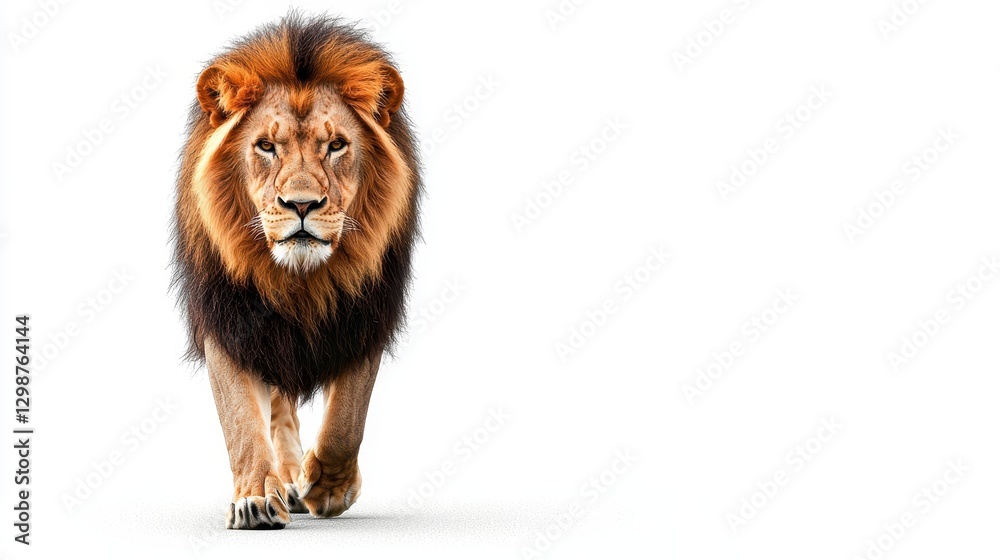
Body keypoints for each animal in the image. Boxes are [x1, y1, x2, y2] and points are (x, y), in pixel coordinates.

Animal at [171, 12, 420, 530]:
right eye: (266, 146)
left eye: (337, 145)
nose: (301, 205)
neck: (301, 279)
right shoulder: (227, 319)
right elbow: (241, 417)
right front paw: (254, 497)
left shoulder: (365, 314)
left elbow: (348, 416)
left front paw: (328, 486)